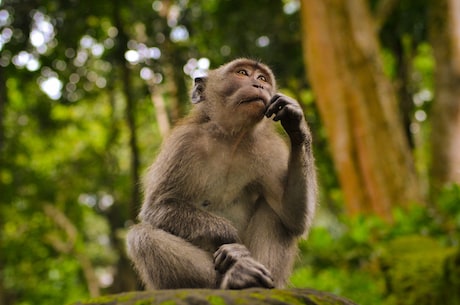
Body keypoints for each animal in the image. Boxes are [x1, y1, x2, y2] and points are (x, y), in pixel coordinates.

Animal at [127, 57, 318, 290]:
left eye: (263, 78)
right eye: (242, 73)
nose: (259, 85)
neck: (231, 138)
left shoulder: (270, 149)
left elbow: (293, 216)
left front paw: (296, 122)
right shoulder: (183, 143)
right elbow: (157, 207)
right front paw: (231, 239)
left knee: (275, 213)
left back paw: (260, 281)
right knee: (141, 235)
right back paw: (235, 276)